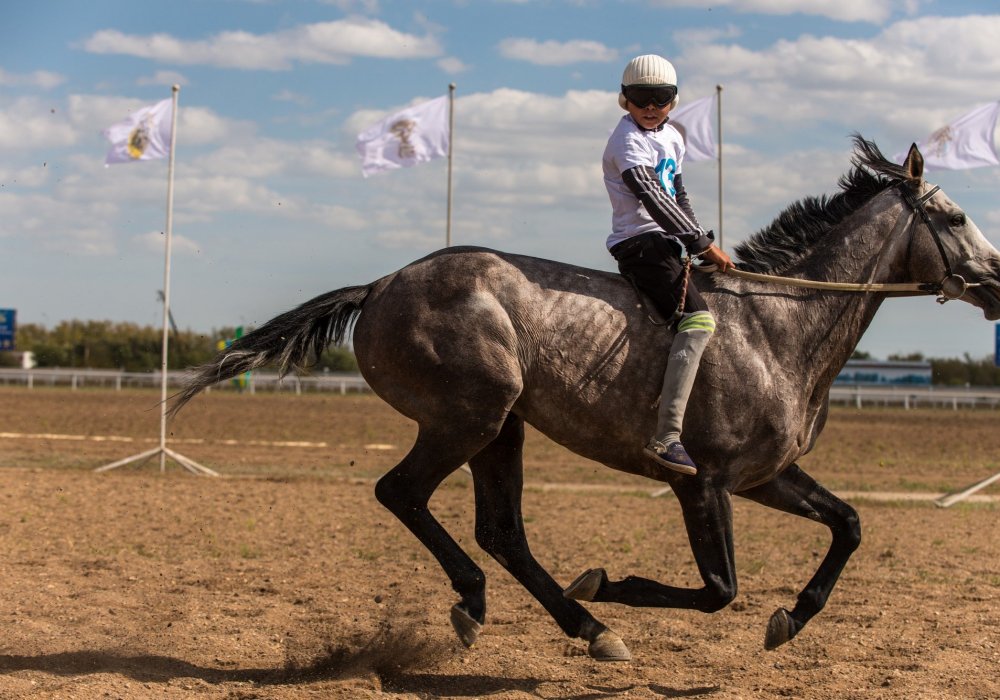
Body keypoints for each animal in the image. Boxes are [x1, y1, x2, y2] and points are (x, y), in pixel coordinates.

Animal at [170, 137, 1000, 660]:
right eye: (957, 217)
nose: (998, 282)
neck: (775, 327)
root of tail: (379, 286)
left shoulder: (766, 477)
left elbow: (849, 526)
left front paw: (791, 619)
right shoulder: (705, 482)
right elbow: (719, 589)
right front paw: (612, 583)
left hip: (501, 429)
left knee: (501, 530)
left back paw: (577, 626)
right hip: (468, 416)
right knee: (402, 493)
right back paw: (512, 606)